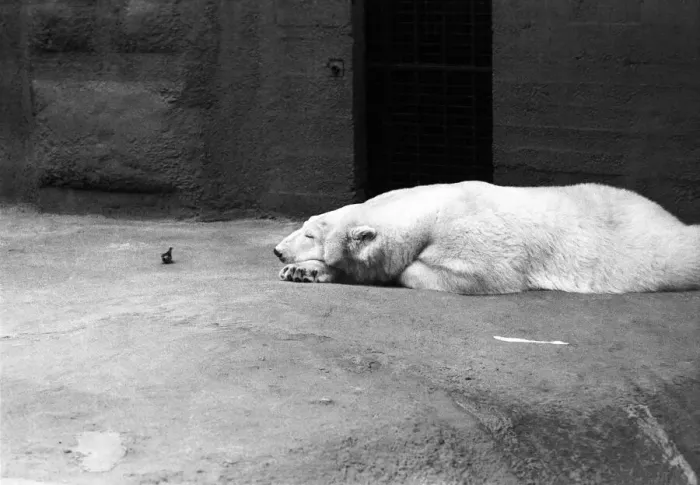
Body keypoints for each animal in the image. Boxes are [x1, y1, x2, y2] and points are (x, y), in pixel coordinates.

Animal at [273, 181, 700, 295]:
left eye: (308, 233)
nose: (277, 250)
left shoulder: (471, 231)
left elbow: (483, 274)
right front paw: (302, 271)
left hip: (647, 252)